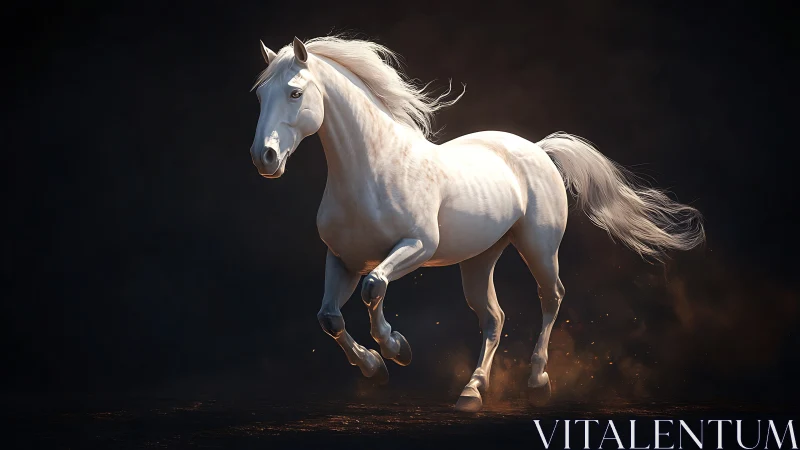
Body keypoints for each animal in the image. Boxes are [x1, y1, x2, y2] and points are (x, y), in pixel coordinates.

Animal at [249, 36, 704, 412]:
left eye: (294, 93)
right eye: (260, 96)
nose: (264, 158)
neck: (372, 170)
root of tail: (538, 149)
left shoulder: (416, 247)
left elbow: (373, 288)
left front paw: (397, 348)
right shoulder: (343, 259)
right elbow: (329, 317)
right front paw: (375, 368)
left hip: (539, 248)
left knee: (551, 297)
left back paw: (537, 381)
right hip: (480, 259)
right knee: (493, 317)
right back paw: (472, 391)